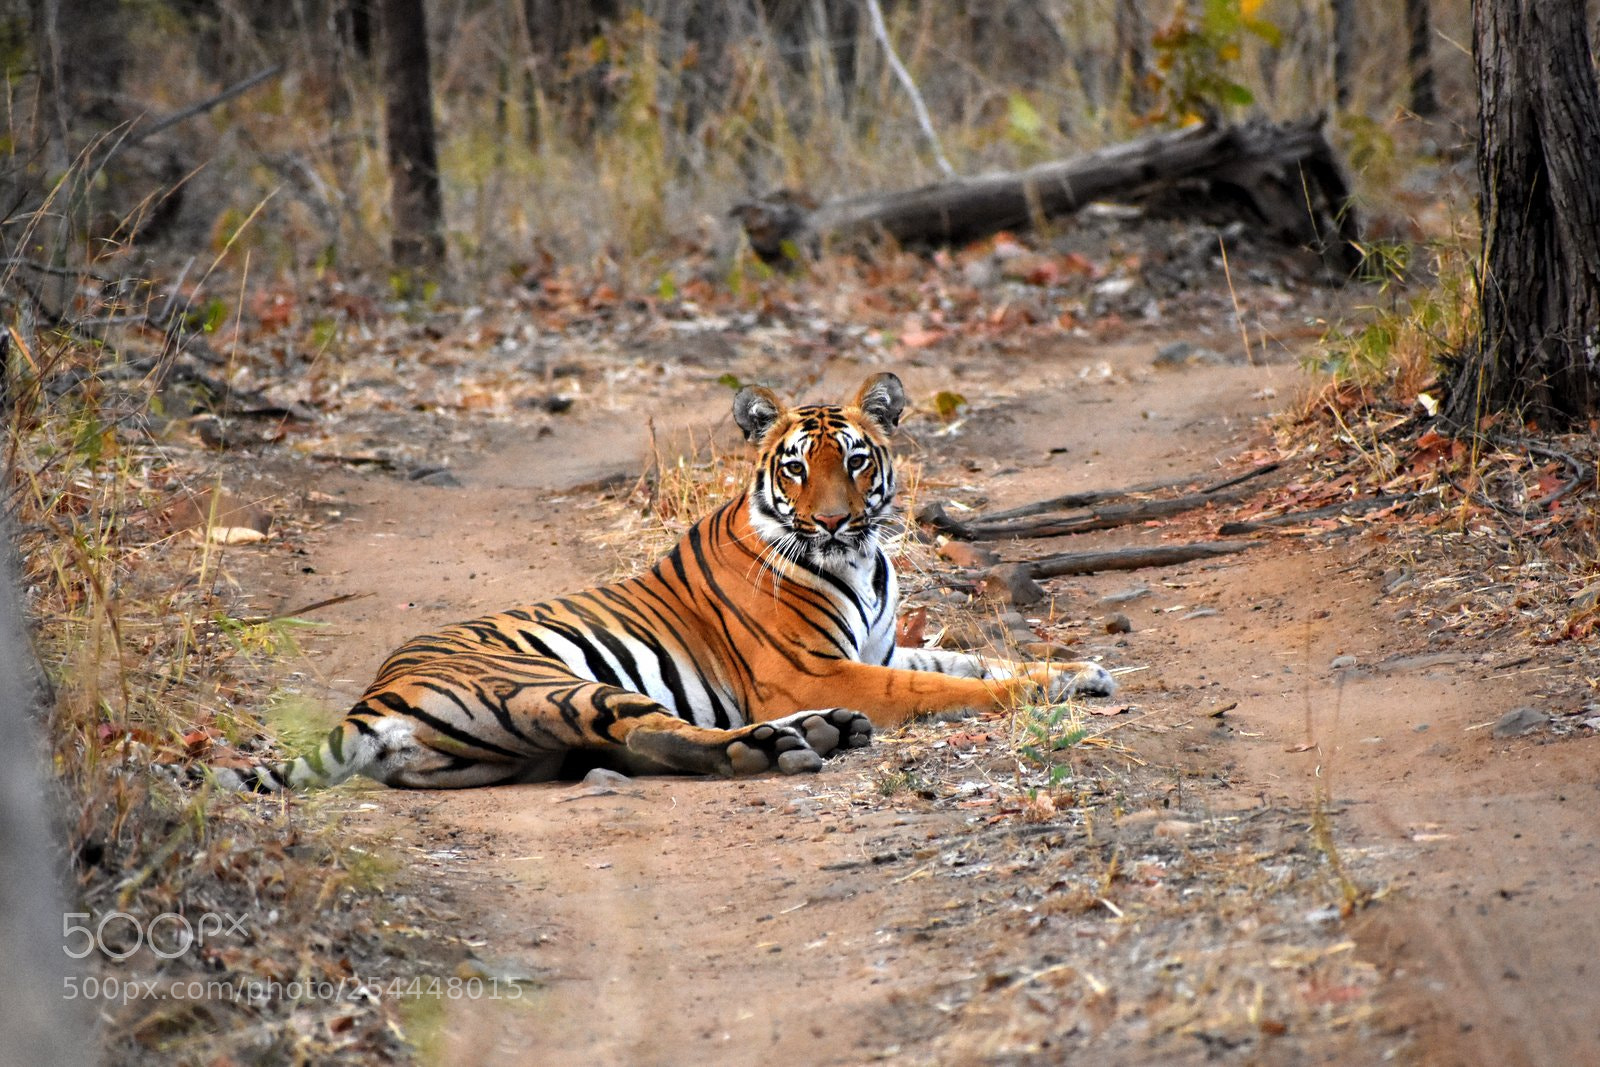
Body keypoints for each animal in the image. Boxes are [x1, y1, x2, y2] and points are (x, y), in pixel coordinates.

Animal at [211, 372, 1114, 791]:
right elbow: (950, 687)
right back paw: (789, 743)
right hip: (551, 683)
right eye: (797, 466)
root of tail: (374, 694)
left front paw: (1076, 671)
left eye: (856, 460)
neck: (861, 560)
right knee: (659, 732)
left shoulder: (882, 648)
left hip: (515, 747)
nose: (829, 521)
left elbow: (967, 659)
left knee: (633, 745)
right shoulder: (815, 670)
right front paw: (1030, 692)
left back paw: (813, 737)